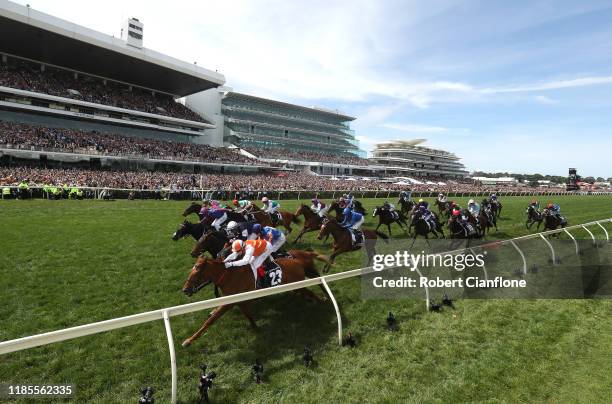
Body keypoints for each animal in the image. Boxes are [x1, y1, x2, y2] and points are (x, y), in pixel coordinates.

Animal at [179, 249, 332, 348]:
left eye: (197, 270)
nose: (185, 289)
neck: (228, 276)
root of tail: (298, 260)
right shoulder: (239, 301)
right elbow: (247, 314)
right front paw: (255, 328)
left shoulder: (228, 303)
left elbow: (210, 321)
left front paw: (189, 340)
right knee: (306, 292)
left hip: (299, 283)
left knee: (310, 292)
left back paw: (322, 301)